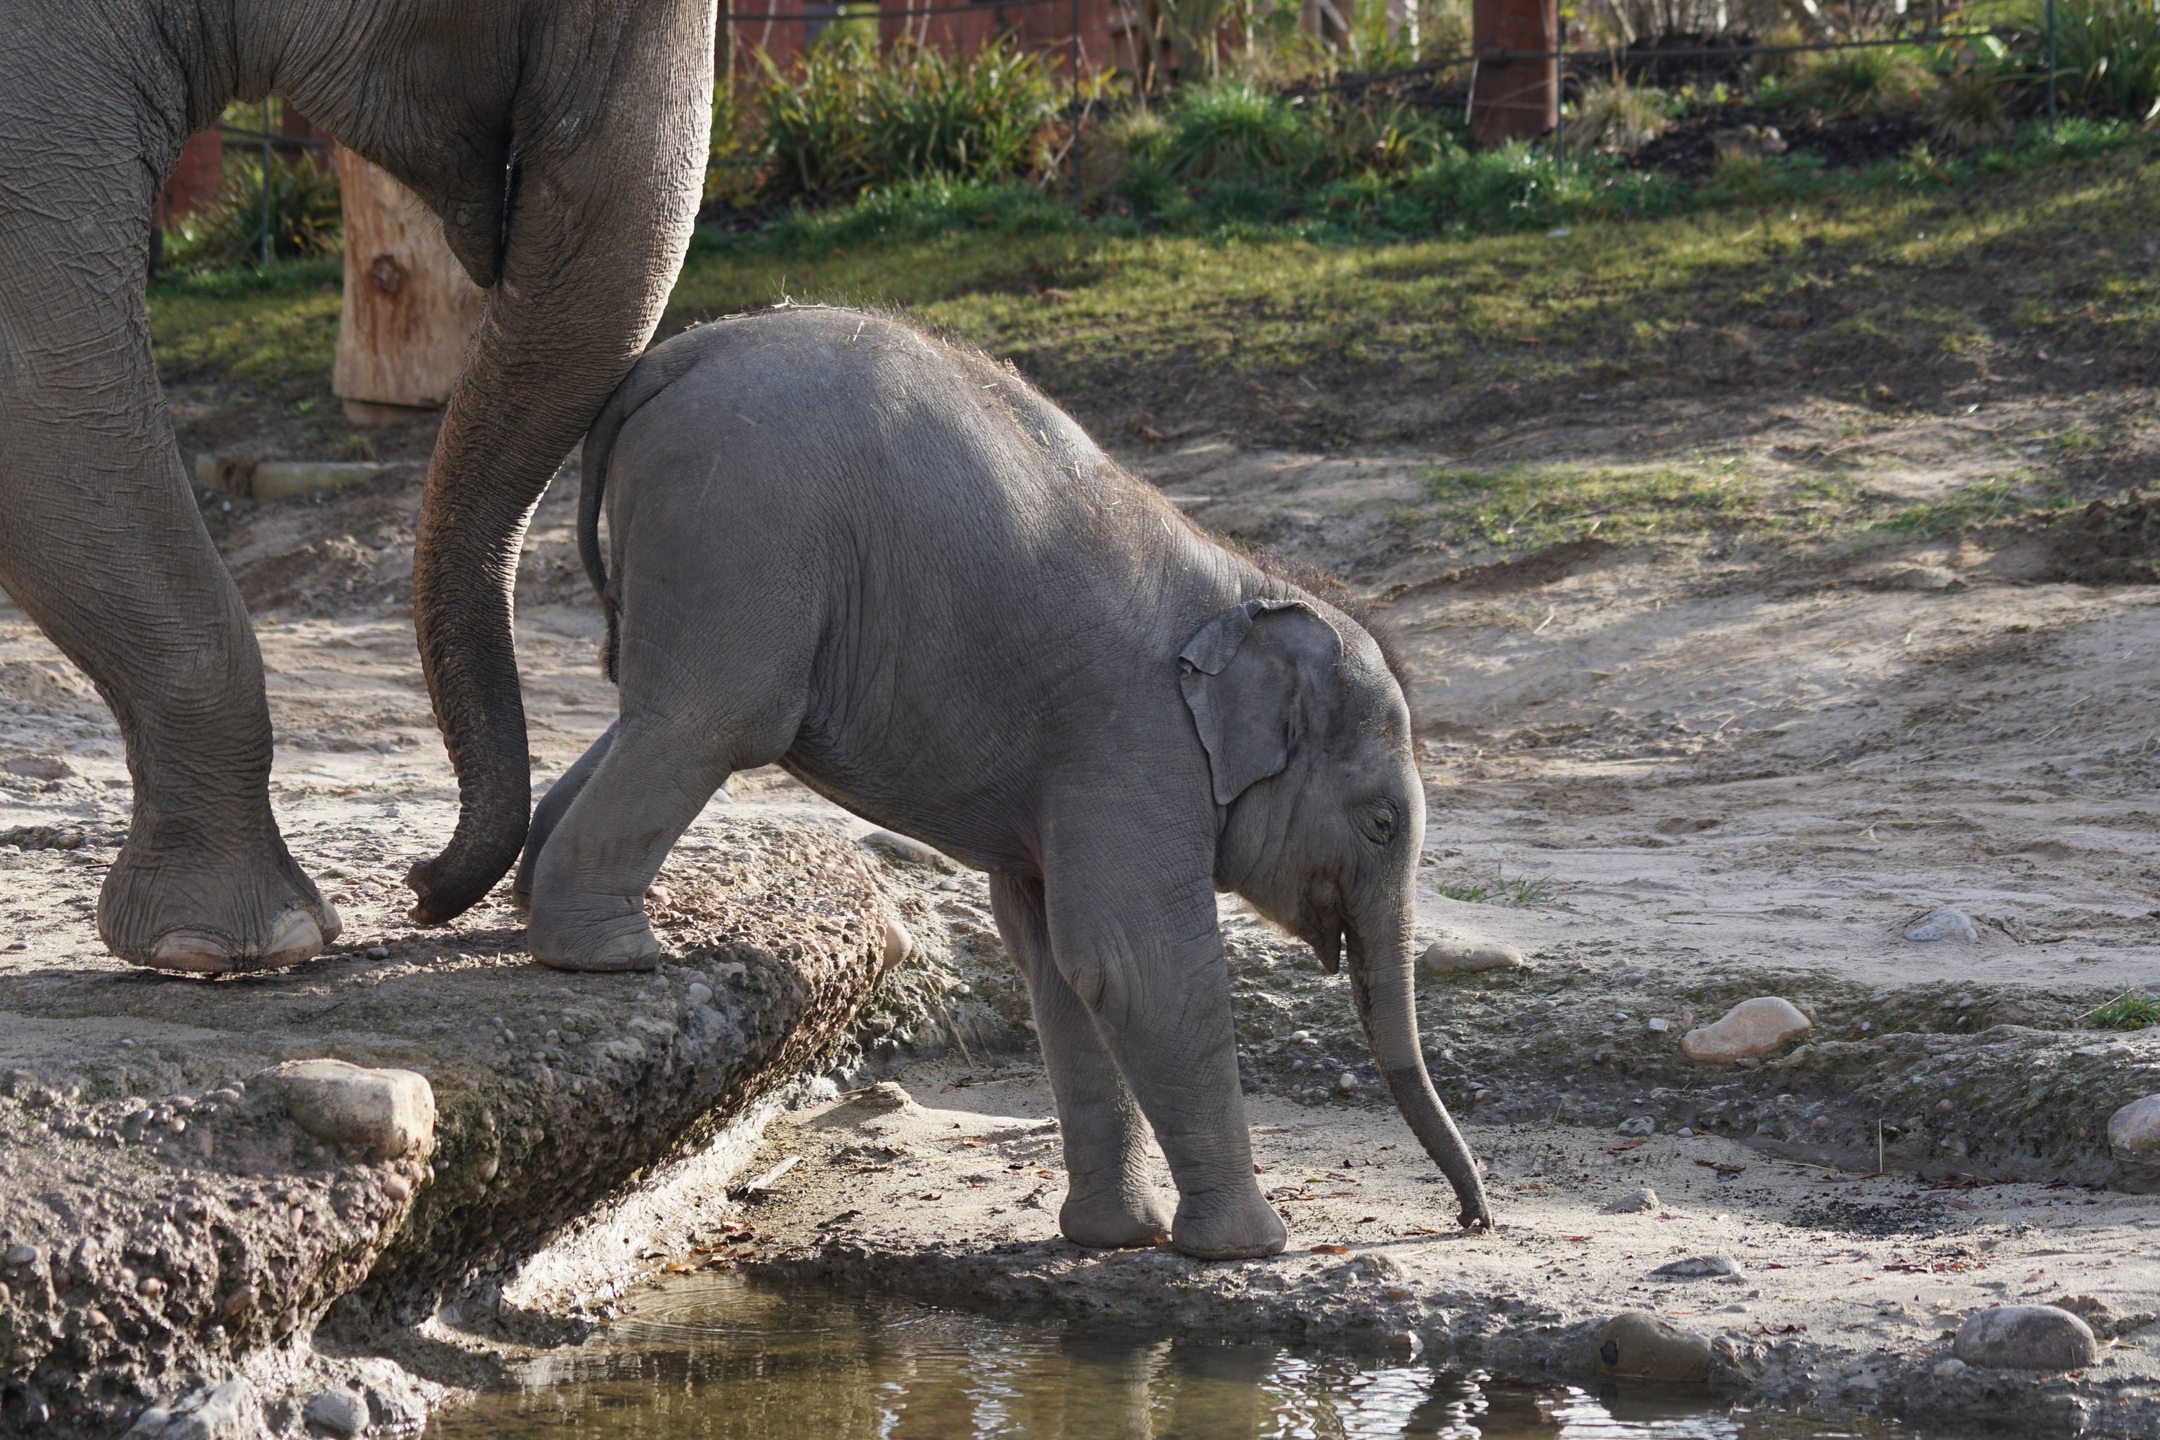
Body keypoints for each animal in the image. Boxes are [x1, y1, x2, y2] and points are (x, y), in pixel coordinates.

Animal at [522, 310, 1486, 1252]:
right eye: (1380, 825)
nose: (1470, 1219)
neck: (1257, 588)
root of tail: (672, 358)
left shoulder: (1073, 776)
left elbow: (1057, 963)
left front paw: (1114, 1239)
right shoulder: (1134, 744)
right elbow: (1134, 963)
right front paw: (1251, 1247)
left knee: (649, 715)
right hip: (740, 526)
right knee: (713, 721)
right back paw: (608, 954)